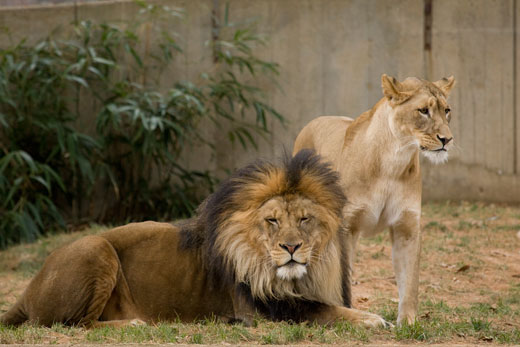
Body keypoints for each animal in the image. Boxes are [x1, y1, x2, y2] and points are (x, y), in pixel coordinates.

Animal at [0, 152, 388, 328]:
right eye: (272, 220)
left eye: (305, 219)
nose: (291, 248)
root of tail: (26, 291)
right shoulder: (261, 310)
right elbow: (325, 311)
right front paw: (372, 320)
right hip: (95, 248)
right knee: (74, 323)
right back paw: (135, 324)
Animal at [292, 75, 456, 324]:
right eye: (423, 111)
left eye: (446, 110)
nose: (447, 139)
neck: (394, 160)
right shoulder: (347, 228)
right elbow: (344, 277)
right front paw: (350, 314)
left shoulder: (407, 228)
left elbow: (410, 282)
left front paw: (408, 323)